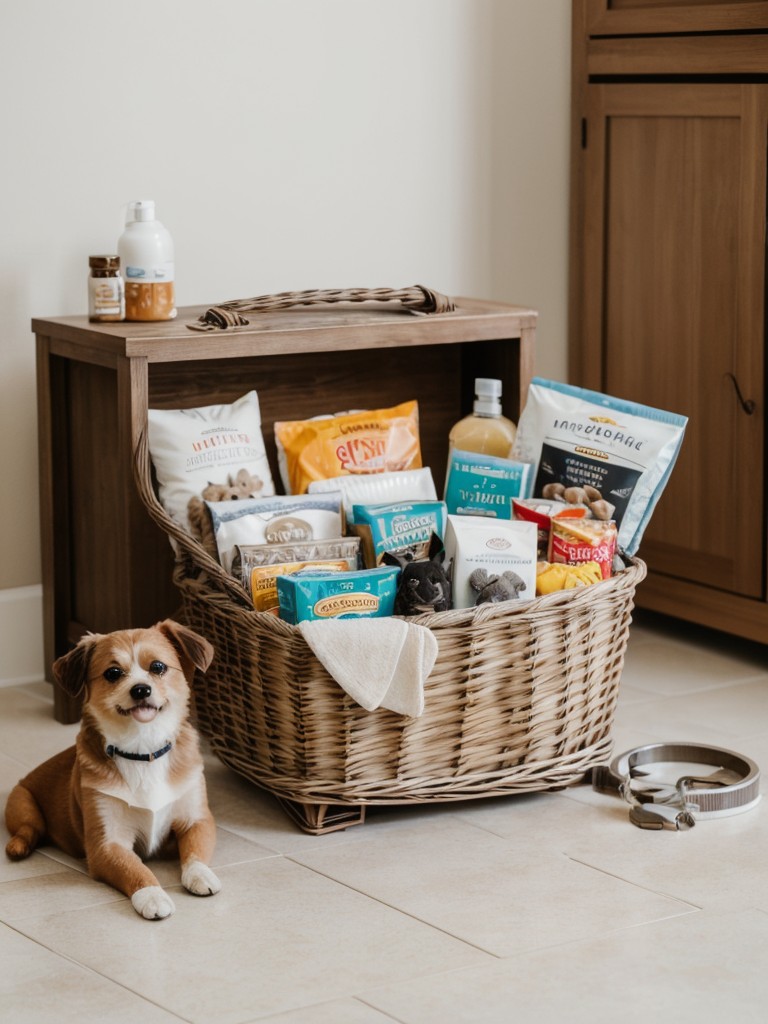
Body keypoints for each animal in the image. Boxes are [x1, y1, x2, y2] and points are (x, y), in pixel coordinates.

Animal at [5, 618, 222, 925]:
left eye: (158, 667)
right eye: (113, 673)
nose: (141, 689)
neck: (142, 752)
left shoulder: (197, 820)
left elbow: (195, 852)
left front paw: (200, 874)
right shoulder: (107, 844)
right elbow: (134, 867)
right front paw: (152, 896)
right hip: (23, 804)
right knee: (27, 830)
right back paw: (19, 846)